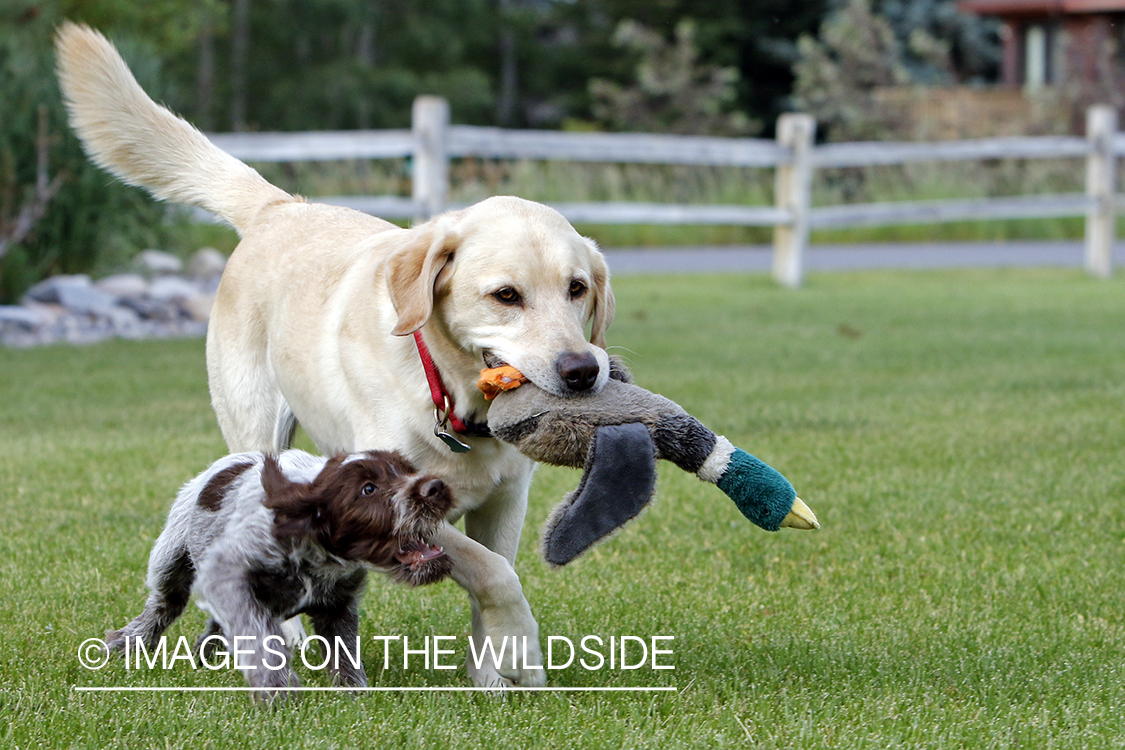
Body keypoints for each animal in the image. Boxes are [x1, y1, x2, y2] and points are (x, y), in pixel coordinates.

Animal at [104, 445, 452, 697]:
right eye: (368, 489)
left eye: (407, 470)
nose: (436, 488)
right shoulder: (233, 578)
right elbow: (259, 636)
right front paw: (277, 691)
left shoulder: (339, 605)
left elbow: (345, 655)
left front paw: (354, 695)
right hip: (171, 560)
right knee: (164, 606)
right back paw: (124, 644)